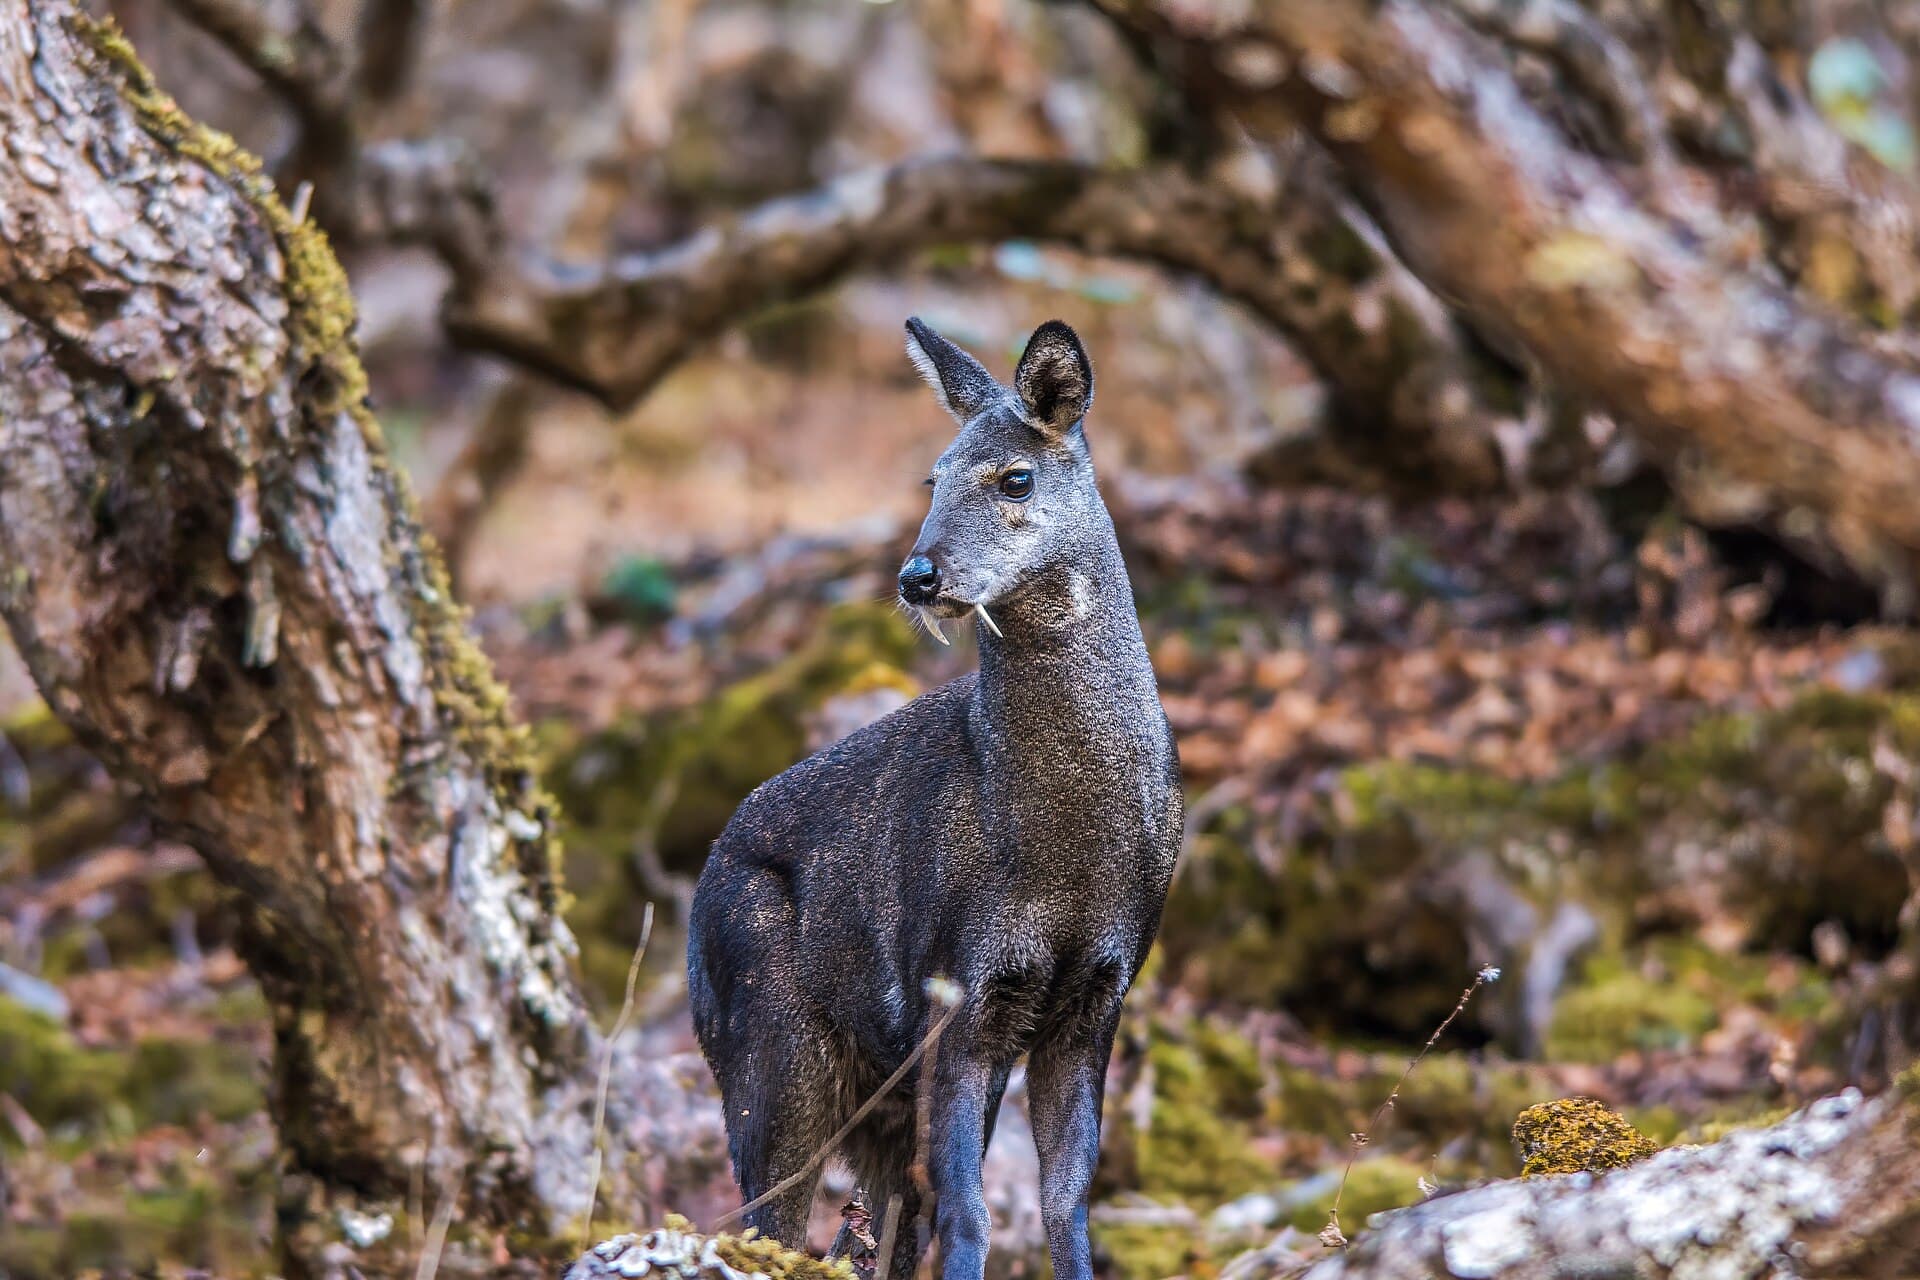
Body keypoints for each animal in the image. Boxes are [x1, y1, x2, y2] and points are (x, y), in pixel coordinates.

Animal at [687, 317, 1183, 1280]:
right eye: (933, 476)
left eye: (1015, 476)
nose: (918, 575)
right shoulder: (953, 985)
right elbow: (969, 1210)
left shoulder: (1099, 994)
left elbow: (1066, 1202)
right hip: (769, 1040)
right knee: (767, 1218)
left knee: (873, 1218)